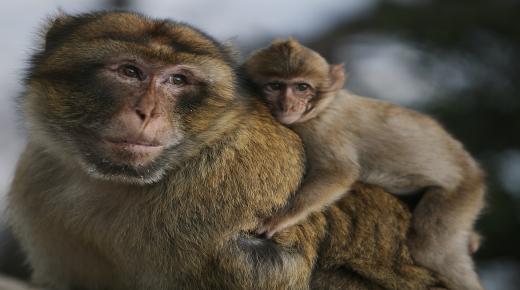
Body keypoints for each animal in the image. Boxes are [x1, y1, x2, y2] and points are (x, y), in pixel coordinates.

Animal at [8, 11, 444, 290]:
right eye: (130, 71)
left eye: (177, 80)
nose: (147, 111)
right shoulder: (42, 184)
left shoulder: (242, 174)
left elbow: (275, 260)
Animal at [244, 39, 488, 290]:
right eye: (275, 86)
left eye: (302, 87)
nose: (287, 104)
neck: (324, 105)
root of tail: (473, 169)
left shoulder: (320, 128)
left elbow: (339, 172)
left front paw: (281, 218)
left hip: (461, 191)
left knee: (431, 250)